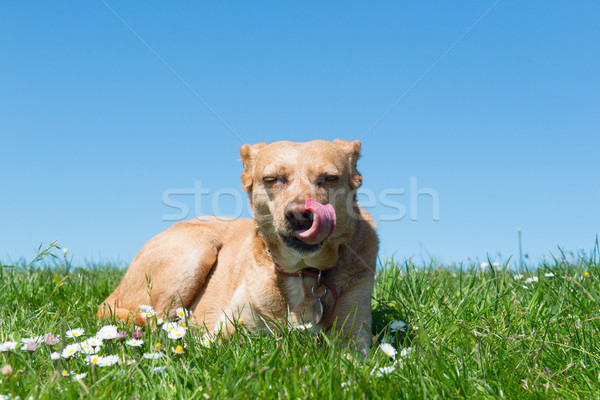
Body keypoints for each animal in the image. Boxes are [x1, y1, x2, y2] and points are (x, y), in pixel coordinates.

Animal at [99, 139, 380, 352]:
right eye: (272, 179)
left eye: (329, 178)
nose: (300, 215)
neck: (303, 273)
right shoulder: (226, 330)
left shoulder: (355, 337)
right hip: (197, 249)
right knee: (156, 321)